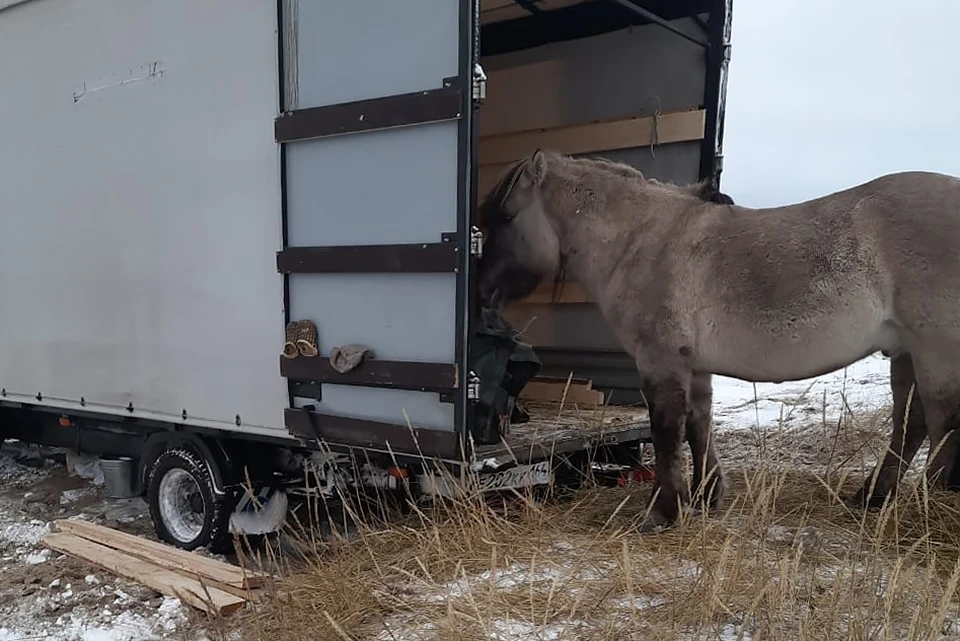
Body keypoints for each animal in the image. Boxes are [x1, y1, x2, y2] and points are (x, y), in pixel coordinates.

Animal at [480, 150, 960, 528]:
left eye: (505, 217)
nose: (483, 292)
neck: (643, 242)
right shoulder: (694, 365)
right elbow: (699, 424)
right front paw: (705, 495)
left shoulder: (660, 361)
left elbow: (667, 431)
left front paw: (663, 512)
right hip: (905, 353)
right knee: (911, 424)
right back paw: (872, 498)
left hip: (934, 352)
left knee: (942, 425)